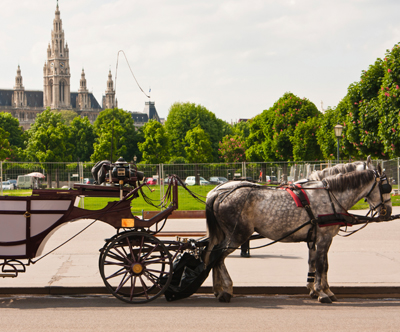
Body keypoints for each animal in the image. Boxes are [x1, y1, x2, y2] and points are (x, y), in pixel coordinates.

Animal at [205, 169, 392, 304]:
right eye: (386, 188)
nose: (388, 211)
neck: (330, 196)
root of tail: (218, 193)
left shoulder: (316, 238)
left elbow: (317, 264)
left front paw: (320, 289)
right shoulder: (324, 238)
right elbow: (322, 266)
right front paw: (322, 292)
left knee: (213, 255)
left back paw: (218, 289)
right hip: (238, 234)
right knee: (218, 257)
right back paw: (226, 290)